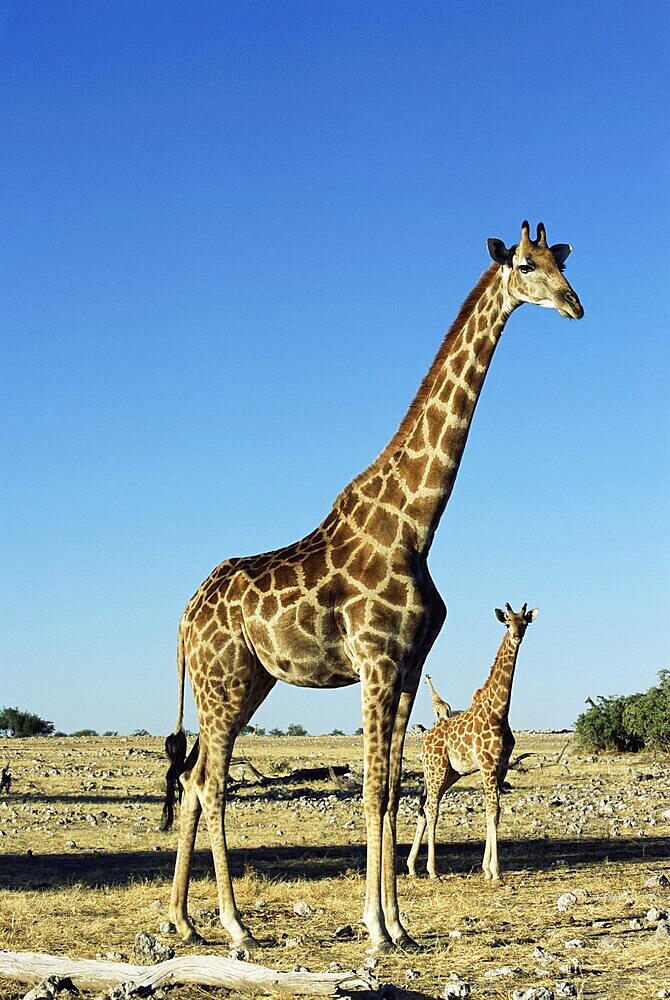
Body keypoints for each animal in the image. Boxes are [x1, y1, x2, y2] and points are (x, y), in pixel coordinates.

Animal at [404, 604, 540, 880]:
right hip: (436, 769)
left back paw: (412, 867)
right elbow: (492, 811)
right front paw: (495, 871)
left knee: (424, 806)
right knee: (431, 808)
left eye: (525, 623)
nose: (517, 636)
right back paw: (432, 870)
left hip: (450, 773)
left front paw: (486, 869)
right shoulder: (487, 764)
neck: (499, 711)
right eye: (507, 623)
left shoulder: (501, 766)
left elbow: (493, 814)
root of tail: (425, 741)